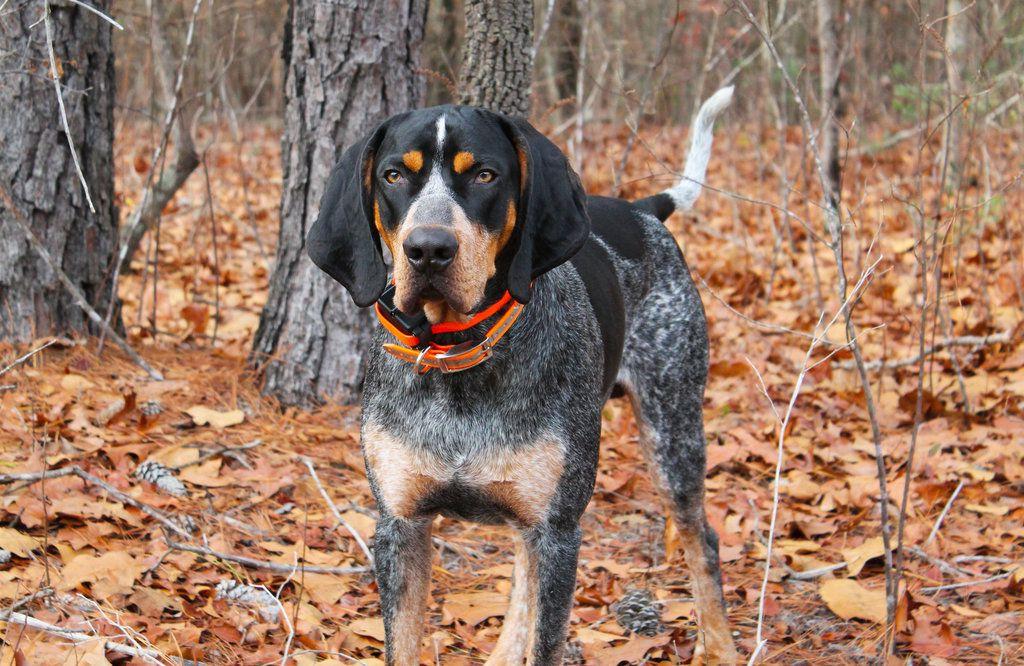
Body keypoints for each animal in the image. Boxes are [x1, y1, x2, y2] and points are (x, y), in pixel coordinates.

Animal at [303, 85, 737, 659]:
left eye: (485, 175)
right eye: (393, 175)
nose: (428, 249)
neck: (456, 358)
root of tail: (641, 210)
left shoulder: (558, 530)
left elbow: (546, 640)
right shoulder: (400, 525)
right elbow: (405, 643)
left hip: (673, 431)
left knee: (701, 540)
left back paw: (723, 647)